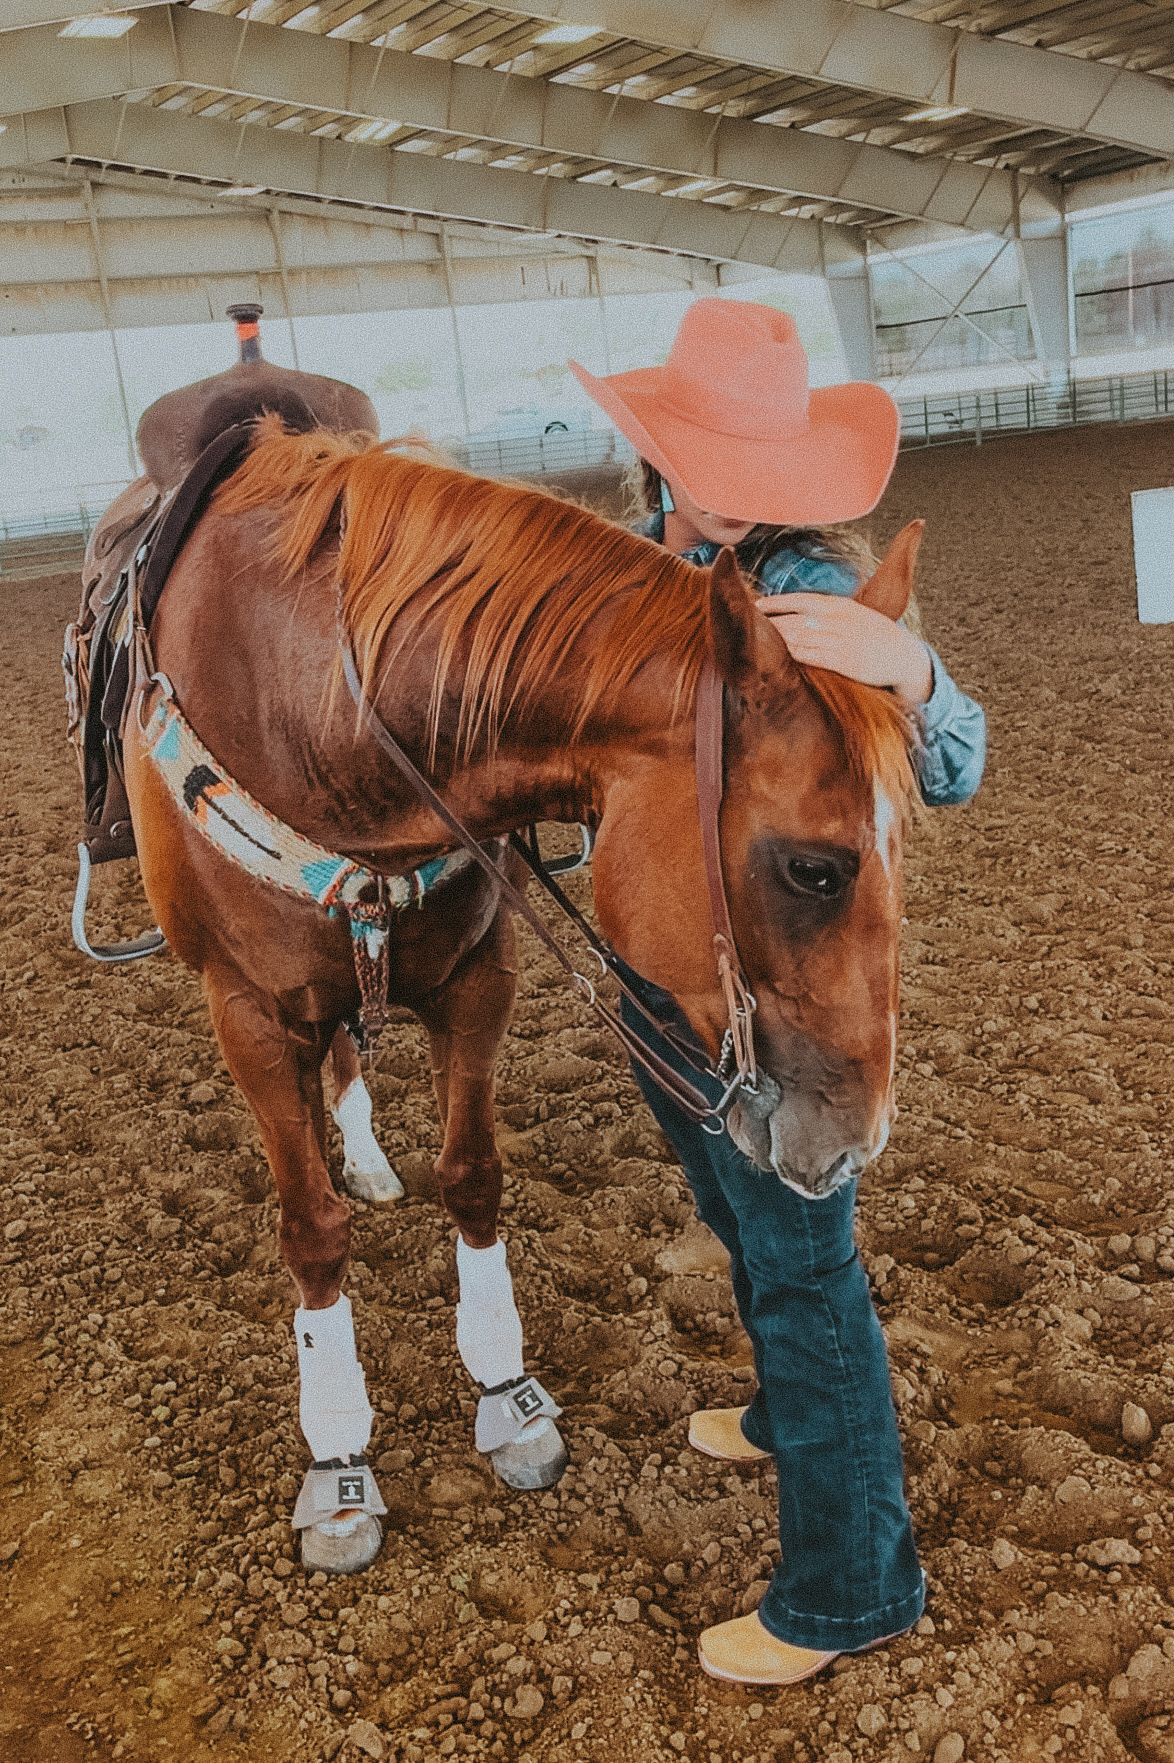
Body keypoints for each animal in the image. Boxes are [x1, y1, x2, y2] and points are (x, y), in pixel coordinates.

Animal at [116, 417, 922, 1575]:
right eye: (814, 868)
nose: (858, 1138)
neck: (323, 707)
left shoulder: (476, 979)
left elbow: (474, 1176)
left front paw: (507, 1399)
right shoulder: (250, 1015)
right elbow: (309, 1231)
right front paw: (339, 1461)